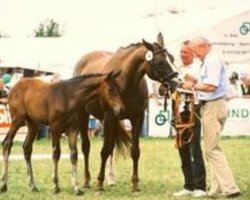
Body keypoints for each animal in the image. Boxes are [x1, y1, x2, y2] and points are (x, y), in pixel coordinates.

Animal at [73, 32, 177, 191]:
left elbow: (134, 151)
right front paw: (99, 183)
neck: (124, 82)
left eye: (172, 58)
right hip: (84, 117)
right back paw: (87, 180)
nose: (176, 83)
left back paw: (110, 178)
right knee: (86, 147)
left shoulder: (137, 119)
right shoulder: (109, 117)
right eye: (160, 62)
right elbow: (104, 151)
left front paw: (135, 184)